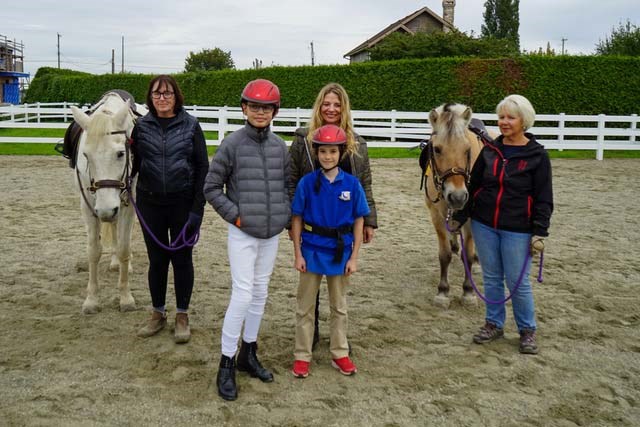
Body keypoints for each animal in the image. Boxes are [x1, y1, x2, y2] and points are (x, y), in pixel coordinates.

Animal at [71, 93, 144, 314]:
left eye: (121, 153)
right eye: (86, 155)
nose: (105, 210)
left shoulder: (128, 205)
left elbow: (124, 249)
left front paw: (126, 298)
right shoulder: (88, 206)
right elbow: (94, 251)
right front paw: (92, 300)